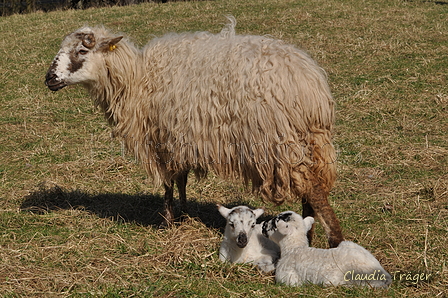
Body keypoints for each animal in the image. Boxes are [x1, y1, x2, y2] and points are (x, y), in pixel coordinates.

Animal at [44, 17, 344, 248]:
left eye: (82, 51)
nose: (49, 79)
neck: (136, 79)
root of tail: (311, 85)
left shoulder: (162, 139)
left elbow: (167, 183)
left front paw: (168, 222)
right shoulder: (181, 139)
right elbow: (181, 180)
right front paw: (185, 215)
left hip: (279, 141)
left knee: (314, 191)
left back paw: (334, 240)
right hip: (308, 142)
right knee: (310, 190)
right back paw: (307, 233)